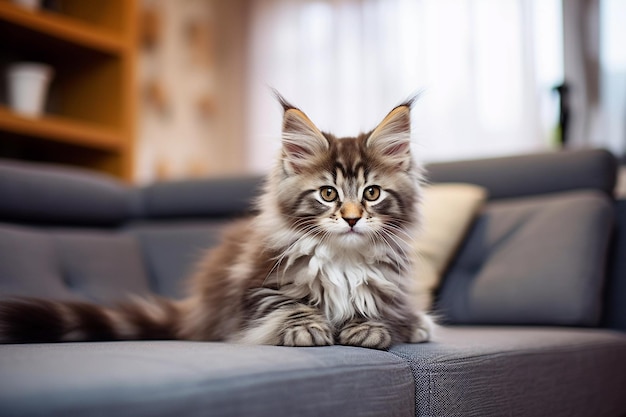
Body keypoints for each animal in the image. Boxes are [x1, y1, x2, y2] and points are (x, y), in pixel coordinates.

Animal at [0, 94, 434, 348]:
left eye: (371, 194)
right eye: (328, 194)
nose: (351, 219)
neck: (342, 258)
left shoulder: (389, 286)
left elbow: (377, 304)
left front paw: (370, 326)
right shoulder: (256, 285)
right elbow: (290, 305)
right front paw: (307, 327)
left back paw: (419, 325)